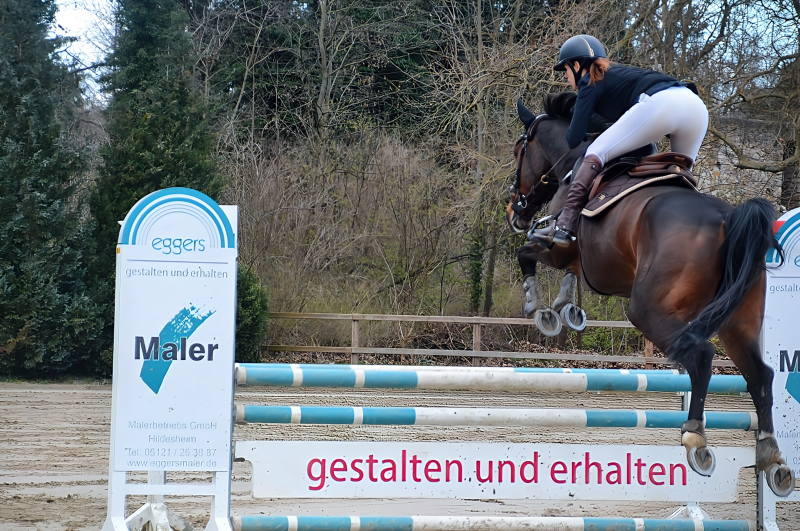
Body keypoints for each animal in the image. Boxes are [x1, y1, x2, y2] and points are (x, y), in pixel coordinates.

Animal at [506, 92, 792, 498]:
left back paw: (696, 439)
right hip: (738, 322)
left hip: (646, 310)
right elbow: (568, 275)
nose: (515, 208)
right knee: (761, 375)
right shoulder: (581, 260)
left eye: (520, 150)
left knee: (702, 357)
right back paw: (772, 456)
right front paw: (567, 308)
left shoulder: (559, 249)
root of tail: (727, 218)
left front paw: (541, 310)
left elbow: (527, 254)